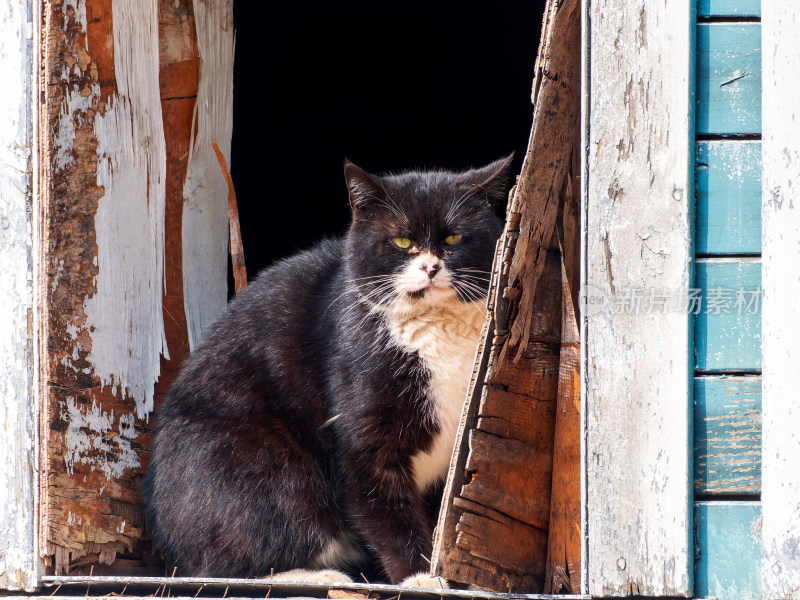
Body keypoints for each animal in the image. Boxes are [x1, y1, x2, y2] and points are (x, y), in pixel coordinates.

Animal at [142, 154, 512, 584]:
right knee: (220, 564)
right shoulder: (363, 429)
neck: (437, 330)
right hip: (262, 464)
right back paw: (320, 577)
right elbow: (383, 505)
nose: (431, 267)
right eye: (403, 242)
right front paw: (419, 576)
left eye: (453, 239)